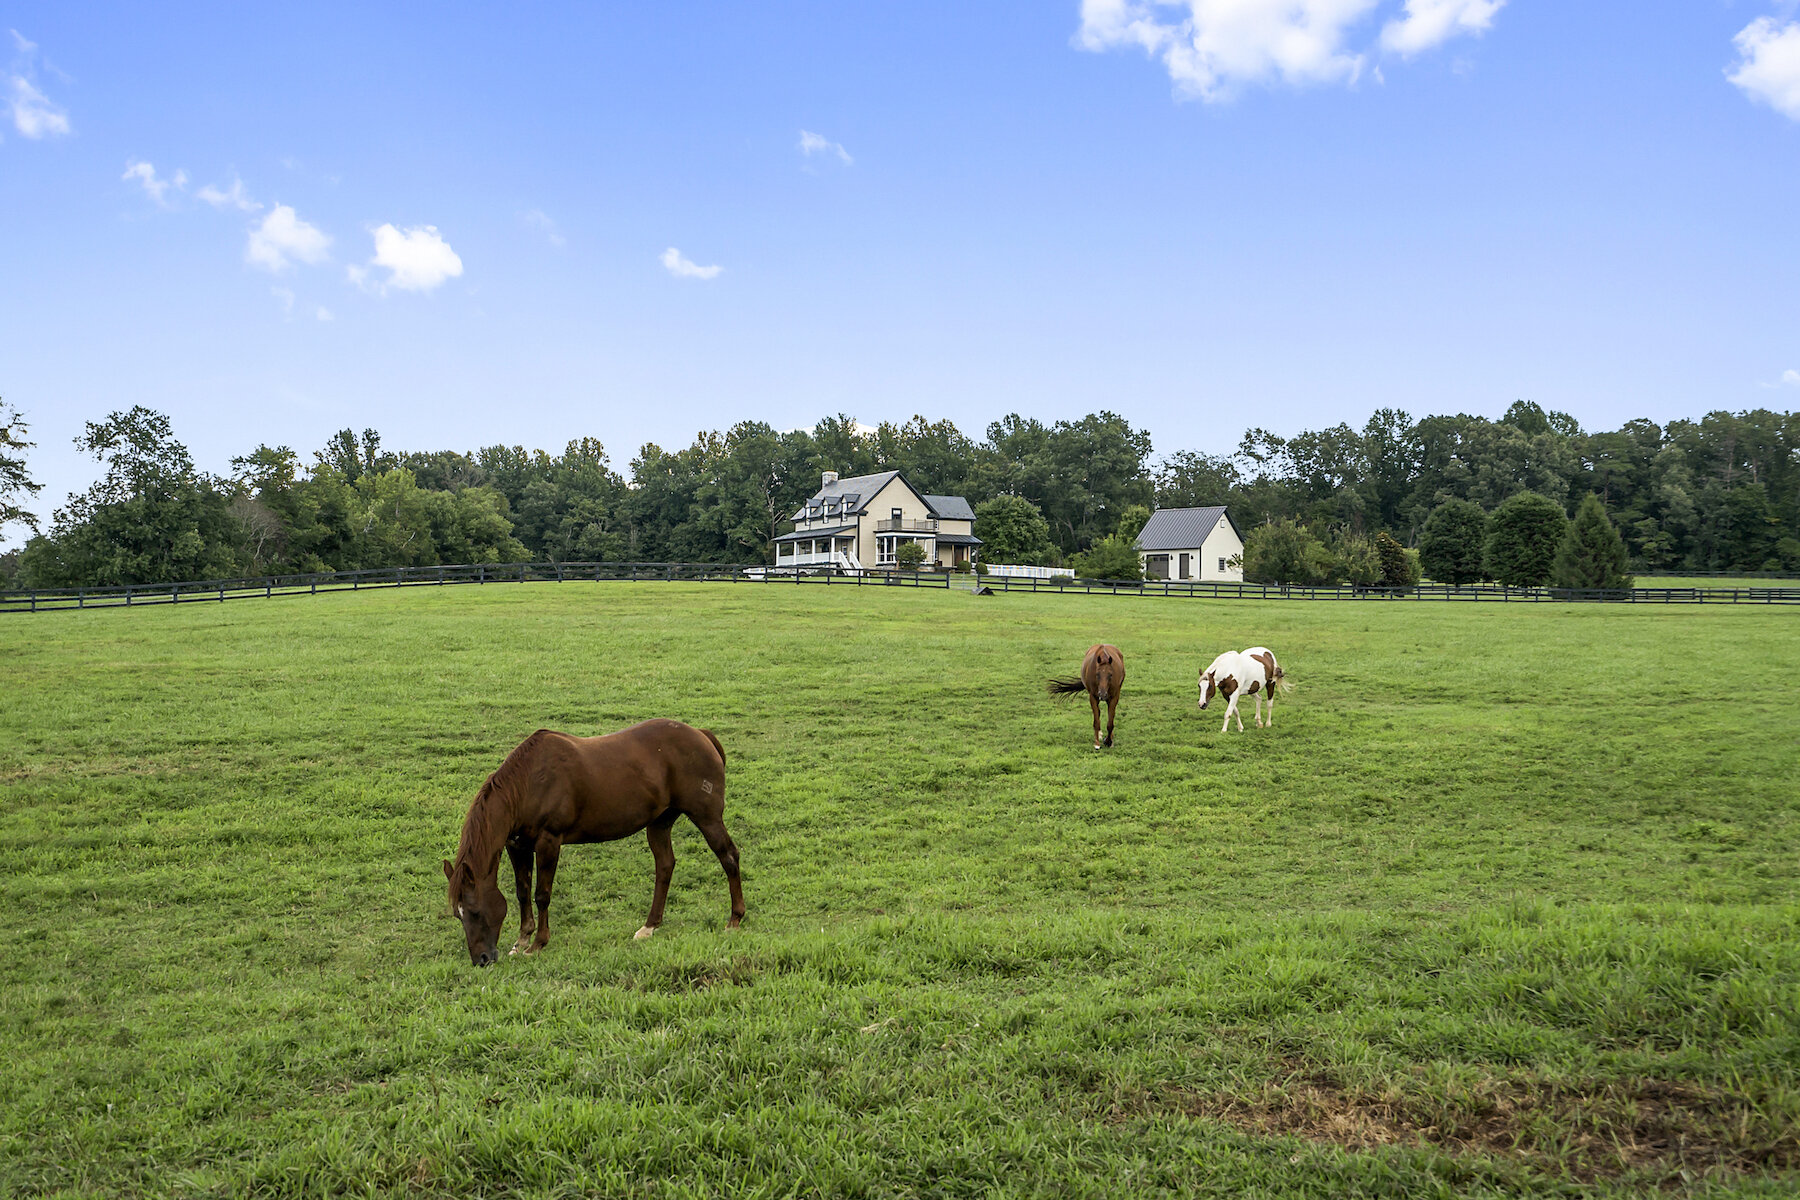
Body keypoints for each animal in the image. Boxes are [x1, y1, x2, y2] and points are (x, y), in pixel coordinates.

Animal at [442, 723, 745, 964]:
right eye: (458, 916)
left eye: (475, 912)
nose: (481, 959)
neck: (528, 784)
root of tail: (702, 735)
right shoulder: (517, 846)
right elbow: (522, 892)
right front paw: (522, 940)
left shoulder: (549, 841)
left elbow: (542, 894)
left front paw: (538, 943)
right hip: (659, 823)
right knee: (665, 866)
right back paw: (649, 926)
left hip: (707, 817)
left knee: (729, 857)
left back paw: (734, 919)